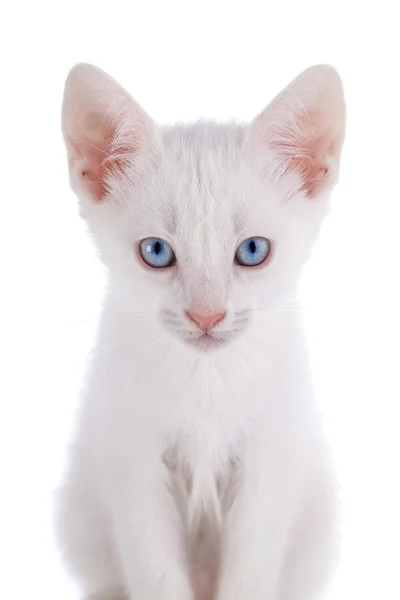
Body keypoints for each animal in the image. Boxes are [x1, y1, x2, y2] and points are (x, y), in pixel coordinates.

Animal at [54, 63, 346, 600]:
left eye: (253, 250)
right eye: (156, 251)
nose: (206, 316)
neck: (206, 383)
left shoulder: (269, 462)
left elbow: (251, 569)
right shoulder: (132, 463)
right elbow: (155, 572)